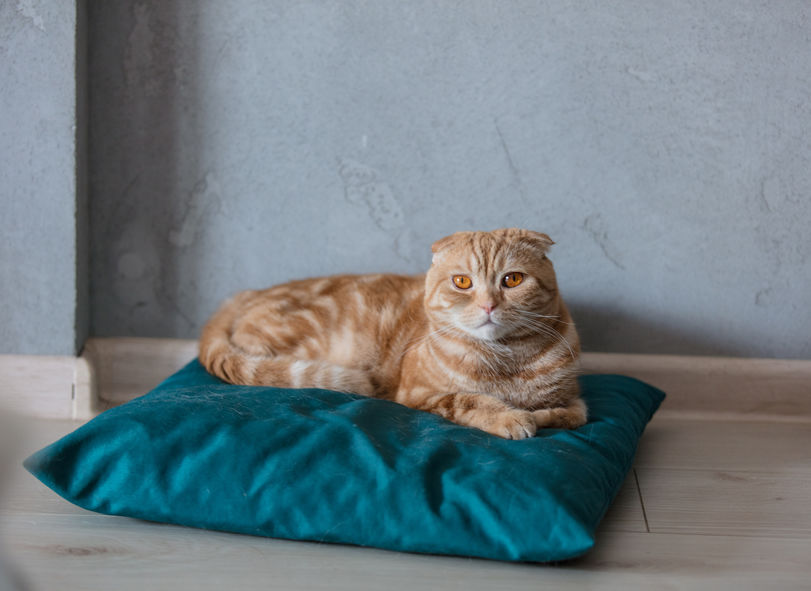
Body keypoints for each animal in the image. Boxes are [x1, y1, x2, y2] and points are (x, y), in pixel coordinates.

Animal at [200, 229, 588, 438]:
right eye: (462, 282)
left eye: (513, 279)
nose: (488, 305)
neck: (506, 359)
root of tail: (246, 294)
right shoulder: (418, 393)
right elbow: (469, 399)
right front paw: (511, 417)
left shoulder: (578, 401)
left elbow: (569, 414)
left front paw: (536, 414)